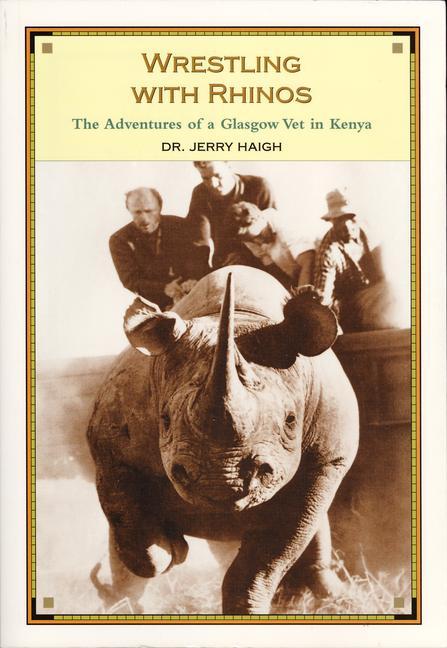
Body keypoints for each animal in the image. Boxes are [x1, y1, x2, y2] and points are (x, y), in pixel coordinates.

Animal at [87, 266, 359, 614]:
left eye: (290, 421)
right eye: (165, 420)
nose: (219, 484)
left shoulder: (326, 461)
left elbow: (268, 559)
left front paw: (247, 608)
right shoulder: (110, 446)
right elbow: (130, 530)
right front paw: (173, 549)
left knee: (314, 530)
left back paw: (336, 598)